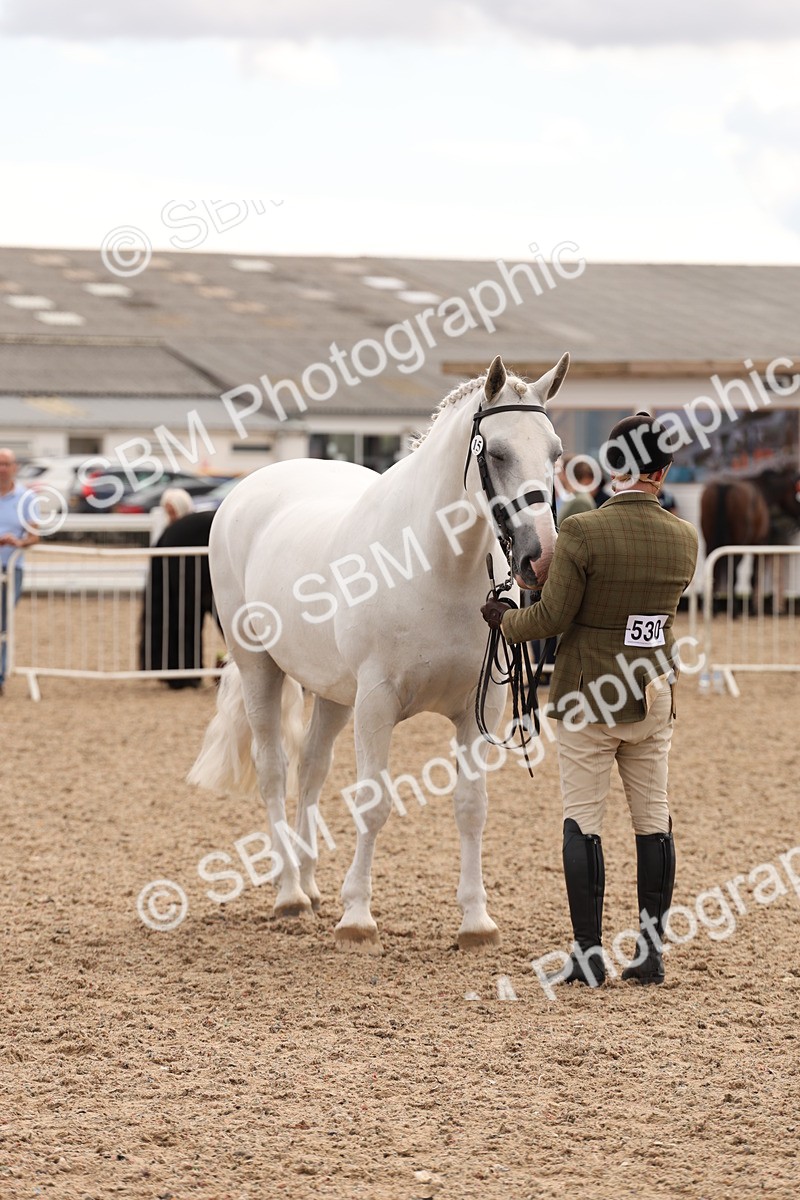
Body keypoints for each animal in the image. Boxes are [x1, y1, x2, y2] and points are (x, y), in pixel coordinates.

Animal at [188, 353, 568, 951]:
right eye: (499, 452)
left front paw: (476, 920)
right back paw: (289, 892)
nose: (541, 557)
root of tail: (245, 491)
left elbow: (471, 808)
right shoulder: (376, 703)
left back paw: (310, 882)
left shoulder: (477, 709)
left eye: (554, 452)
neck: (435, 567)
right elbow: (373, 803)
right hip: (259, 669)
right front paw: (358, 917)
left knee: (311, 769)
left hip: (332, 693)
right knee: (274, 770)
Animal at [700, 467, 800, 608]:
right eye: (796, 493)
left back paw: (714, 606)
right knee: (733, 572)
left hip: (709, 541)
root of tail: (725, 485)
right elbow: (754, 575)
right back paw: (734, 608)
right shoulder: (759, 543)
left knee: (713, 569)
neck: (763, 490)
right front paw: (753, 607)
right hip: (737, 544)